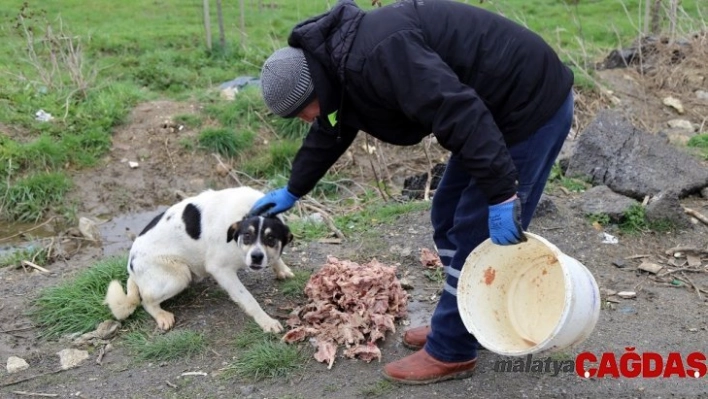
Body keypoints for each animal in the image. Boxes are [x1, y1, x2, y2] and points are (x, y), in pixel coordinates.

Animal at [104, 188, 294, 334]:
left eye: (271, 238)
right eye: (247, 235)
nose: (257, 256)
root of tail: (132, 266)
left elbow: (276, 258)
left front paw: (281, 268)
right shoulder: (220, 269)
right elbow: (248, 299)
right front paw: (266, 321)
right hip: (179, 276)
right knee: (145, 300)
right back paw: (161, 314)